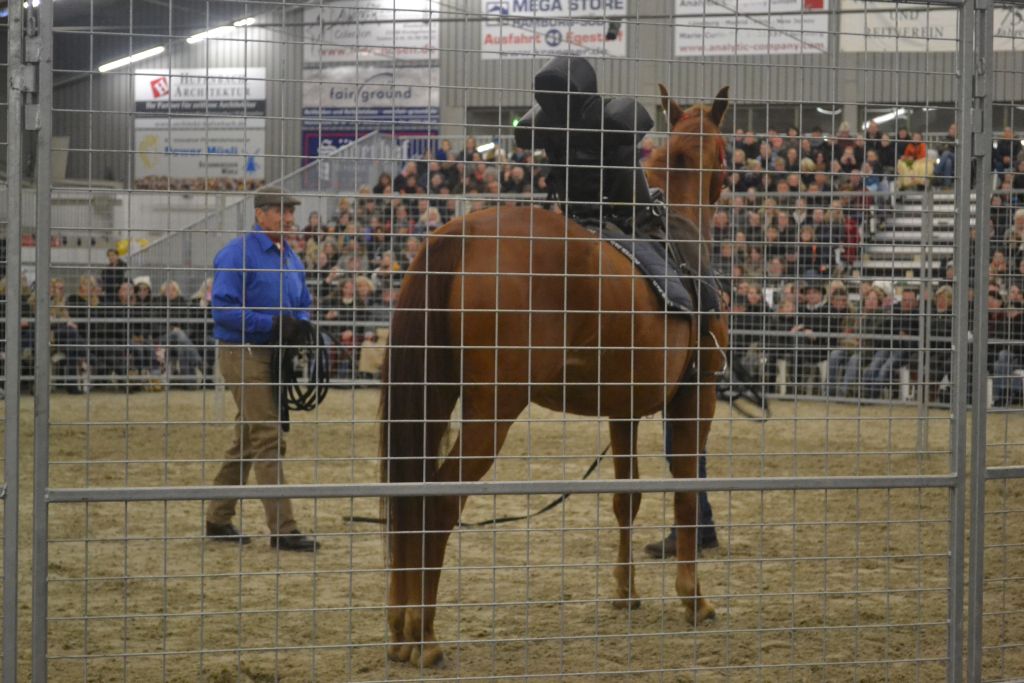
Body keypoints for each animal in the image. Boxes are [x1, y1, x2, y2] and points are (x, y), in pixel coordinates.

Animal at [380, 82, 733, 663]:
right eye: (725, 152)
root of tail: (462, 232)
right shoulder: (694, 394)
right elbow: (685, 488)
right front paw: (694, 598)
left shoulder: (623, 409)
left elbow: (626, 498)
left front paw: (626, 592)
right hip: (491, 412)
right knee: (439, 503)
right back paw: (426, 637)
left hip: (433, 398)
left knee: (409, 499)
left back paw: (400, 631)